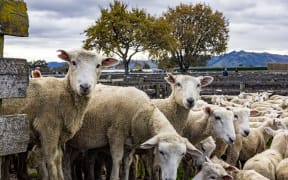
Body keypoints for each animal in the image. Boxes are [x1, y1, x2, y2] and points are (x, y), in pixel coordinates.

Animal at [1, 48, 118, 179]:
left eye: (98, 65)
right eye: (73, 62)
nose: (85, 87)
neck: (64, 92)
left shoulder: (60, 134)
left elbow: (59, 158)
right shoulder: (48, 129)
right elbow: (51, 160)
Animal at [67, 84, 202, 180]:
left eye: (182, 154)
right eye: (161, 151)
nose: (170, 179)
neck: (144, 112)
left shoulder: (130, 145)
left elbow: (127, 165)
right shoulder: (115, 134)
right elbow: (117, 163)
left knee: (78, 162)